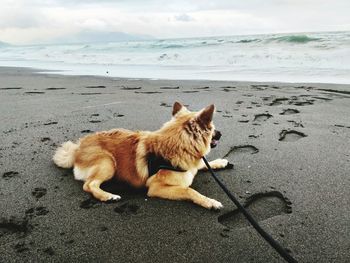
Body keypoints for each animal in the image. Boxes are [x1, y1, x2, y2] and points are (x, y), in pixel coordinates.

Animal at [52, 102, 230, 210]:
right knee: (89, 185)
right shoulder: (156, 188)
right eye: (213, 128)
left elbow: (203, 164)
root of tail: (77, 148)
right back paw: (108, 196)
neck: (178, 145)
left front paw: (220, 162)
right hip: (108, 162)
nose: (221, 134)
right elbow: (190, 191)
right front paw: (210, 202)